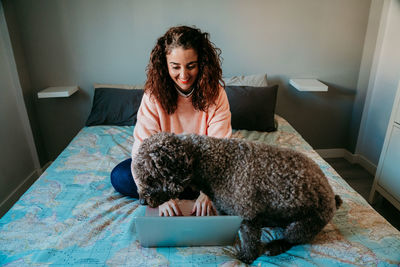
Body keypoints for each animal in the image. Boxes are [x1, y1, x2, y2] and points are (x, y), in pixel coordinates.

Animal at [133, 133, 342, 264]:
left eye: (150, 177)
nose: (142, 201)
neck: (215, 164)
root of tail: (332, 197)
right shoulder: (226, 214)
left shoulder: (247, 217)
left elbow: (249, 240)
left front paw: (246, 257)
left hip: (301, 226)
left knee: (293, 240)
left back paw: (276, 246)